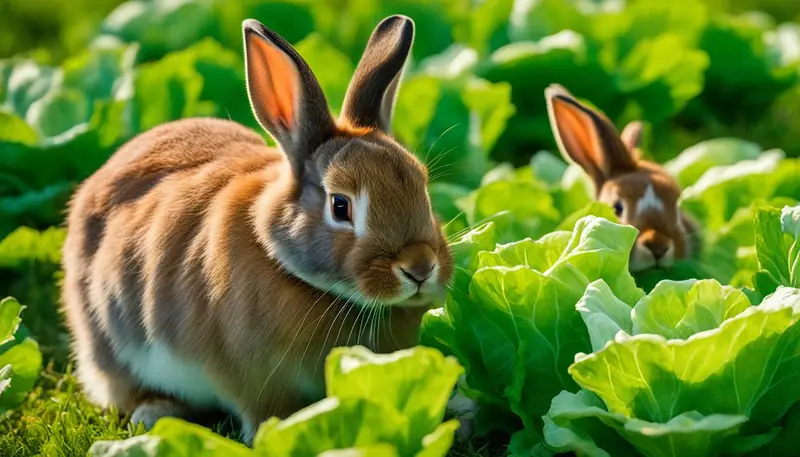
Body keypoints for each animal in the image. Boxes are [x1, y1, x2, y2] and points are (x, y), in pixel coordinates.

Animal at [60, 15, 454, 445]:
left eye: (422, 187)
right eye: (340, 206)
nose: (420, 267)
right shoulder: (252, 379)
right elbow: (265, 413)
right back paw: (155, 412)